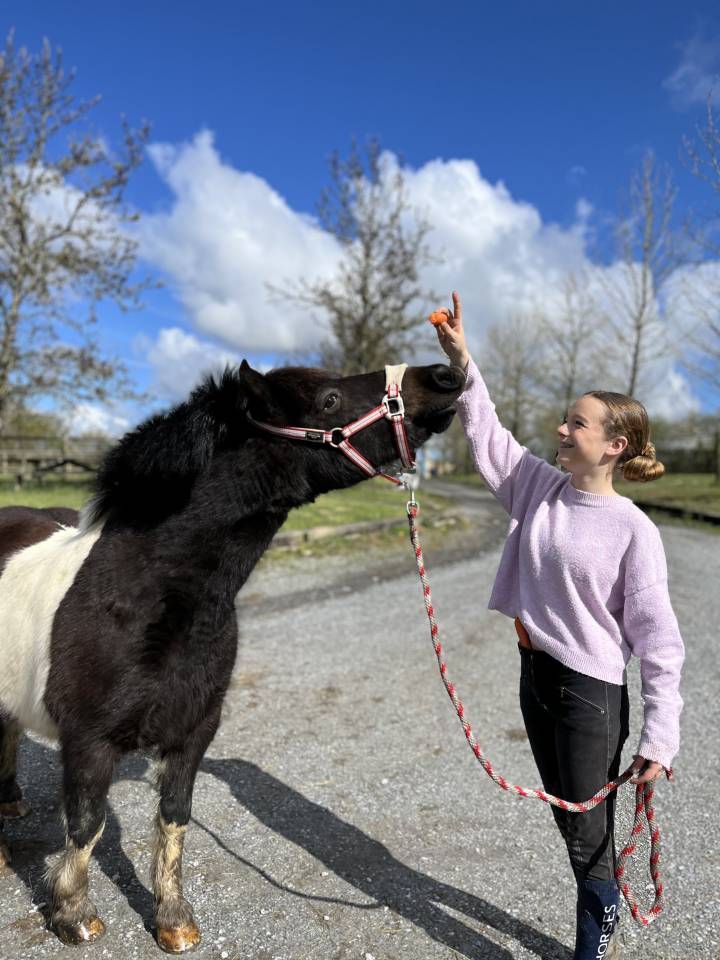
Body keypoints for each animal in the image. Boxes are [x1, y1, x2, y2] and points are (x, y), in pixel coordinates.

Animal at [0, 358, 464, 953]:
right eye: (330, 399)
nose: (444, 376)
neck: (145, 596)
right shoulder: (88, 742)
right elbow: (86, 825)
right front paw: (74, 915)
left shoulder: (194, 732)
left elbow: (174, 818)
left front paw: (173, 920)